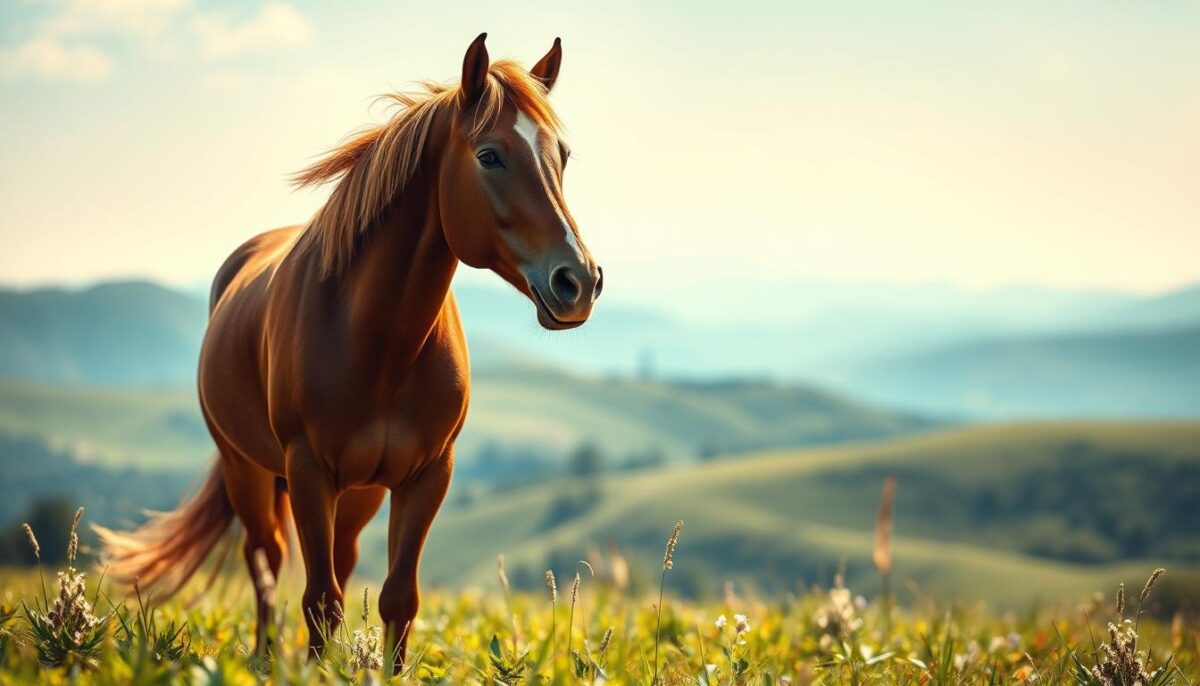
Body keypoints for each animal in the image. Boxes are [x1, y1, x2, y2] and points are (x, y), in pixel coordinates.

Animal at [95, 33, 602, 667]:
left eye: (563, 155)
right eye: (489, 155)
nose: (578, 281)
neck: (382, 343)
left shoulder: (427, 476)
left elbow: (397, 598)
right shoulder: (309, 471)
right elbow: (320, 598)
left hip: (358, 494)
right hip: (248, 472)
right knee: (266, 563)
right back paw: (264, 657)